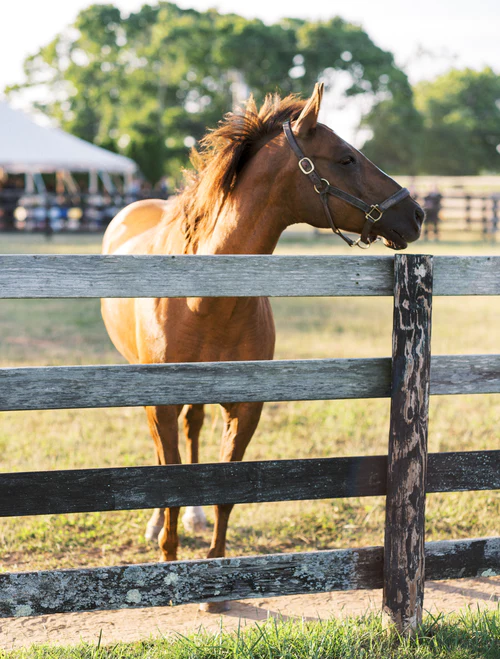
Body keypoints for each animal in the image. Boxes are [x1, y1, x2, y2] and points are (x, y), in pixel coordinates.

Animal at [100, 85, 422, 612]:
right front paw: (168, 566)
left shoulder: (247, 407)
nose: (415, 214)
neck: (205, 299)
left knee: (194, 432)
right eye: (346, 158)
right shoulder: (158, 404)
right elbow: (168, 481)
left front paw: (214, 583)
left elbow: (225, 490)